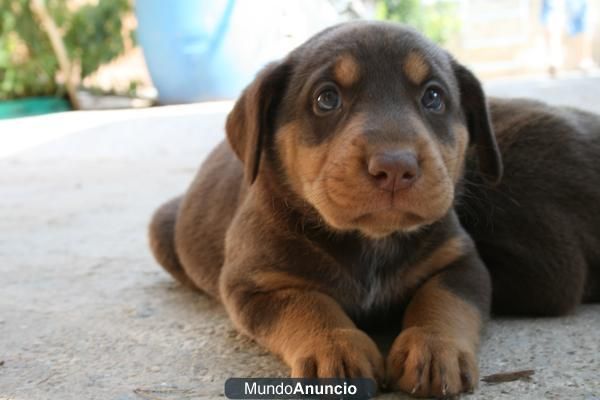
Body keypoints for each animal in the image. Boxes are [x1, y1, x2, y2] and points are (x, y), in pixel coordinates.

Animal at [146, 21, 600, 396]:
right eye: (327, 99)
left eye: (433, 97)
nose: (395, 167)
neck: (371, 242)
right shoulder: (256, 283)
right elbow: (309, 304)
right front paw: (336, 349)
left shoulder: (461, 262)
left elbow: (443, 300)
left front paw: (433, 348)